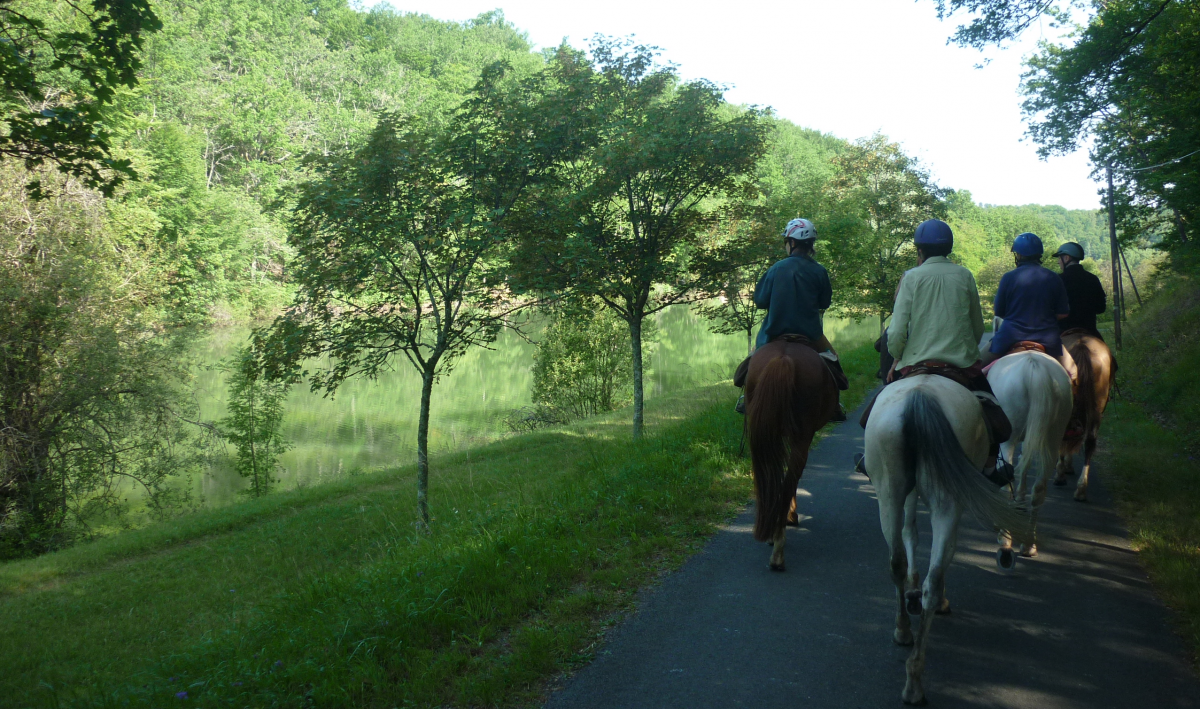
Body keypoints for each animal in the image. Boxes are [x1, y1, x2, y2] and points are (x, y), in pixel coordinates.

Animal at [864, 374, 1032, 705]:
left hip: (889, 494)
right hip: (947, 503)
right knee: (936, 570)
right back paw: (915, 675)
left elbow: (910, 534)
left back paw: (905, 637)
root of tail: (919, 396)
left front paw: (912, 594)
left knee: (897, 563)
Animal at [979, 352, 1075, 556]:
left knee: (1007, 484)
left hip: (1008, 440)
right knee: (1038, 488)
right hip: (1053, 438)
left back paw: (1005, 538)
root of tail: (1036, 369)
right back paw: (1029, 543)